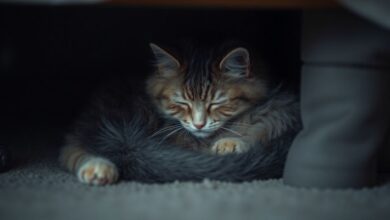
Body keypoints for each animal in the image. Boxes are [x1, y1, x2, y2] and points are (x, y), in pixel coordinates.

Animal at [59, 41, 300, 186]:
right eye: (181, 103)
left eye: (217, 103)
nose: (199, 125)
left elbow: (259, 129)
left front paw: (231, 143)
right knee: (73, 148)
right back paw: (98, 169)